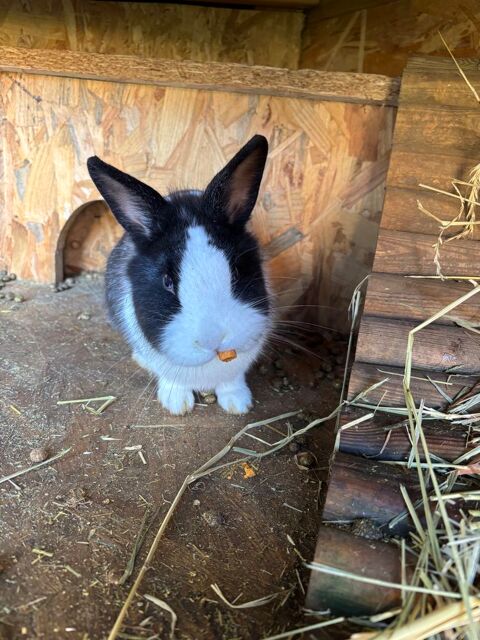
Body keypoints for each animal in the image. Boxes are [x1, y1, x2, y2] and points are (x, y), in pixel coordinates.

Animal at [87, 135, 272, 415]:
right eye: (167, 282)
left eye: (237, 271)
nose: (213, 340)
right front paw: (176, 404)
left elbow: (232, 380)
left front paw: (238, 404)